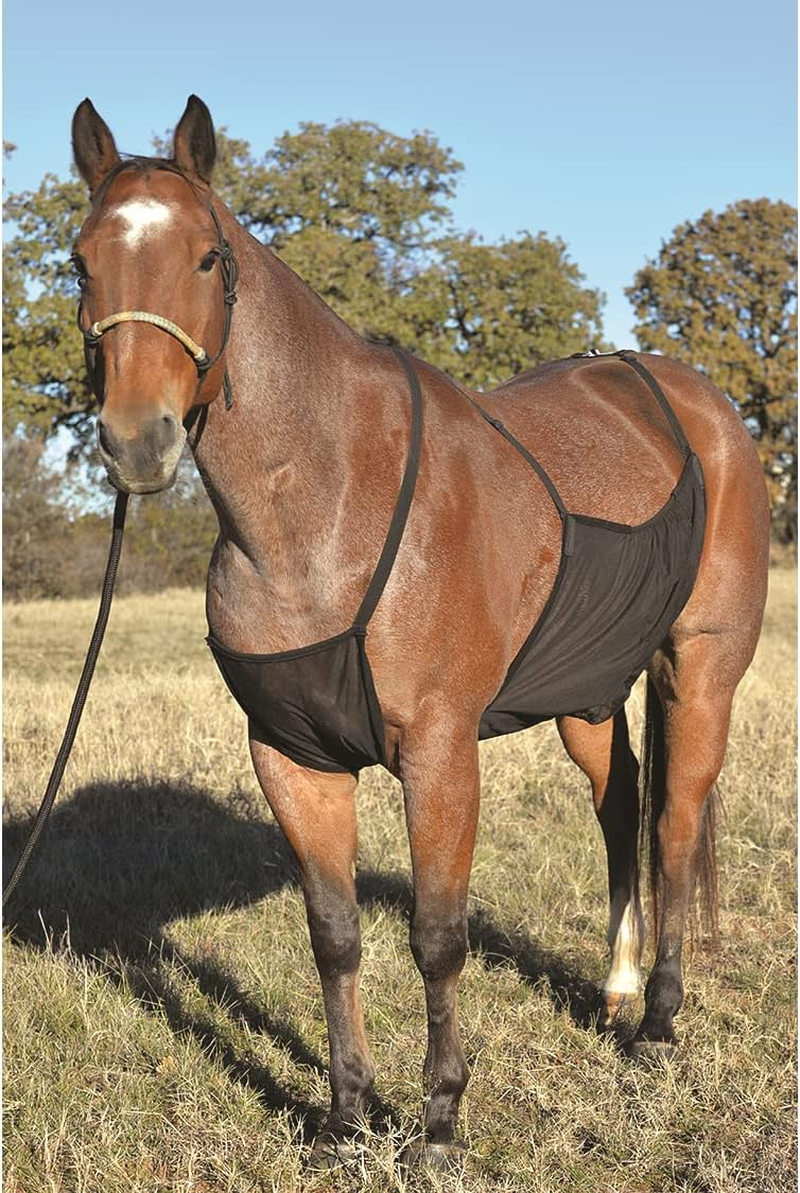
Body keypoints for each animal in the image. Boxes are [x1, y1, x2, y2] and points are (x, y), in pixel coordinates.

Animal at [69, 95, 769, 1170]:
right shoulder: (293, 756)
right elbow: (335, 933)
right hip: (587, 693)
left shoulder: (440, 753)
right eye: (79, 264)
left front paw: (438, 1123)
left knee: (675, 825)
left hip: (702, 672)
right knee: (620, 808)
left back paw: (656, 1021)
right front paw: (346, 1116)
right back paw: (612, 990)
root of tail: (705, 408)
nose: (136, 441)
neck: (322, 509)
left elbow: (438, 938)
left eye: (207, 257)